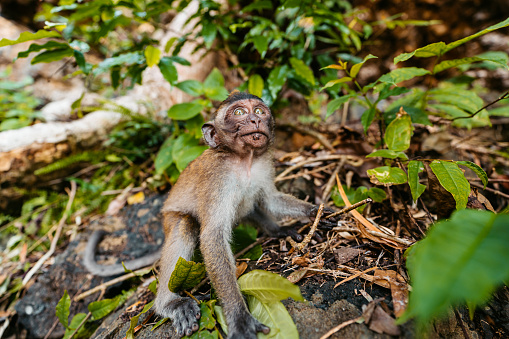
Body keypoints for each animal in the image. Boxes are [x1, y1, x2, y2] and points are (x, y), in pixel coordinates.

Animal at [83, 91, 322, 338]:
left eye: (258, 110)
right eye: (239, 112)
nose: (256, 120)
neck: (244, 160)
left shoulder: (263, 164)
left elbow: (270, 200)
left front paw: (317, 212)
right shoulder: (217, 177)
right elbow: (212, 236)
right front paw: (239, 317)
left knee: (250, 205)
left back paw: (277, 230)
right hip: (170, 217)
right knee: (185, 226)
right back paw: (169, 303)